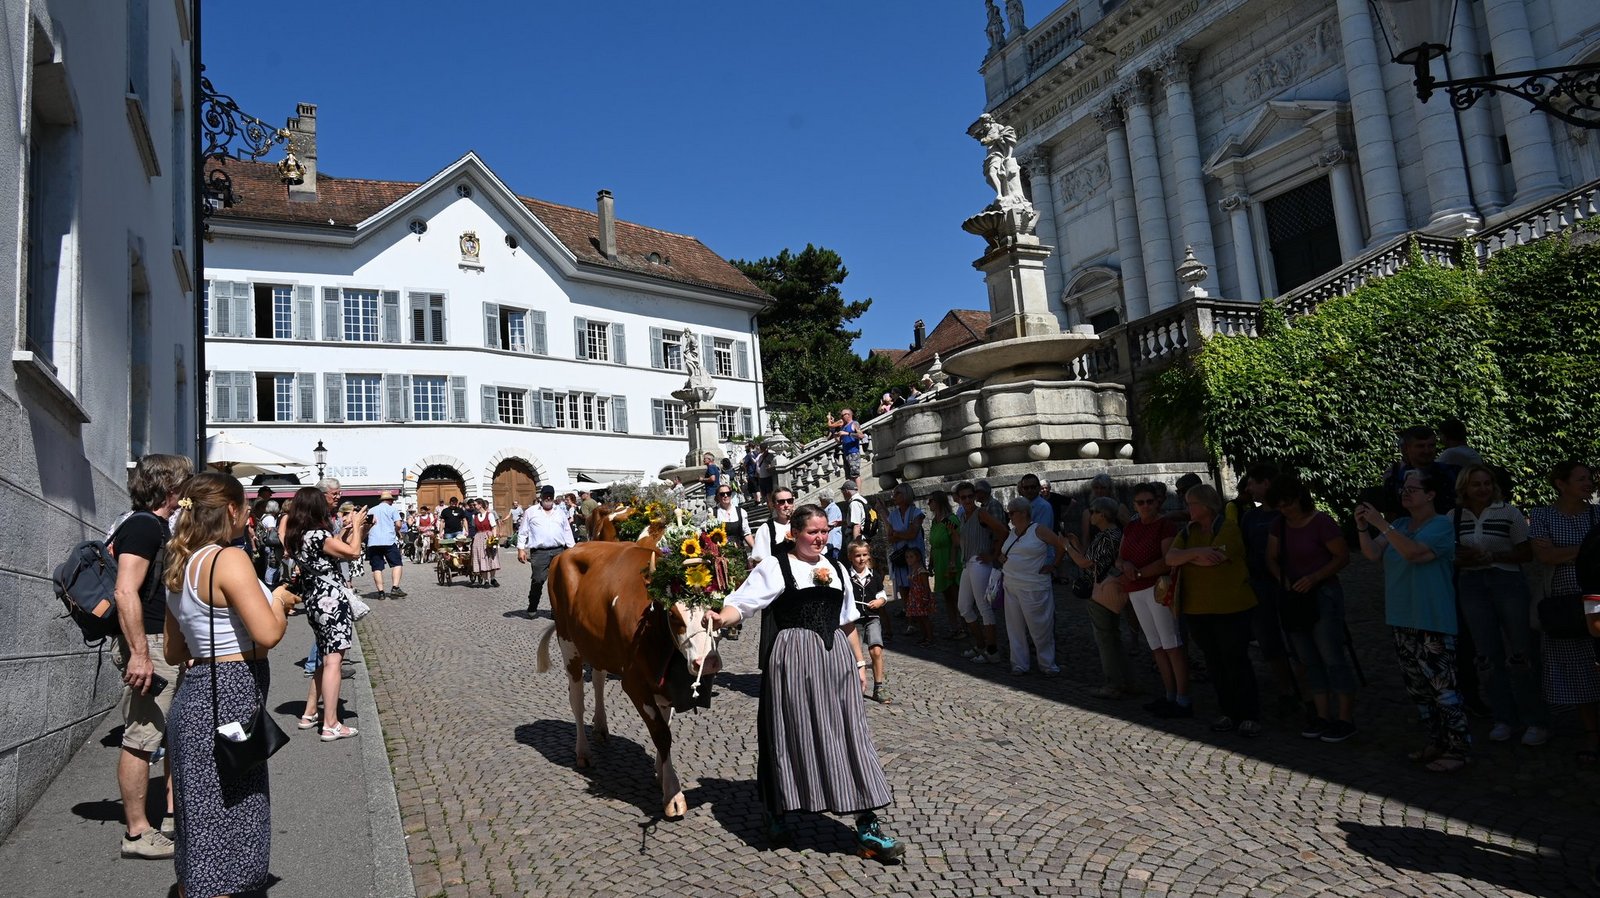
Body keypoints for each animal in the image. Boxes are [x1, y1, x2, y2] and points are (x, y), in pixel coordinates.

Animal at [535, 541, 720, 819]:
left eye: (716, 608)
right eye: (674, 615)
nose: (706, 662)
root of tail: (569, 550)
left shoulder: (663, 685)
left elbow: (665, 725)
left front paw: (660, 773)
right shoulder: (635, 684)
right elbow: (662, 734)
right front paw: (673, 794)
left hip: (598, 645)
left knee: (598, 679)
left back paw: (601, 727)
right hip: (568, 643)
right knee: (576, 700)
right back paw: (583, 752)